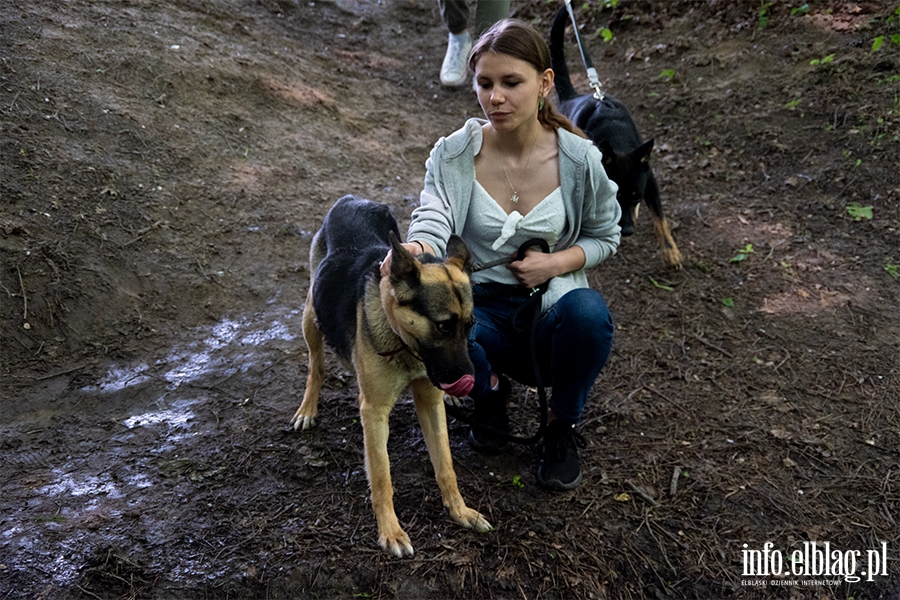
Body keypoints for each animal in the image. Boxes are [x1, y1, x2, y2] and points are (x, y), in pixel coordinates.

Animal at [292, 195, 492, 556]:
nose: (470, 379)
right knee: (316, 366)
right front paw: (390, 531)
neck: (403, 343)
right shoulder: (374, 412)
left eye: (469, 325)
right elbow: (382, 476)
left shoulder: (430, 401)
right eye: (443, 326)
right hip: (311, 315)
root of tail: (352, 199)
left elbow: (446, 464)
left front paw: (460, 511)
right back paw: (307, 408)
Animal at [548, 6, 684, 270]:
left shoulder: (649, 179)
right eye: (616, 196)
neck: (617, 139)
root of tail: (571, 97)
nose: (629, 230)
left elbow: (660, 218)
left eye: (636, 197)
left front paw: (670, 251)